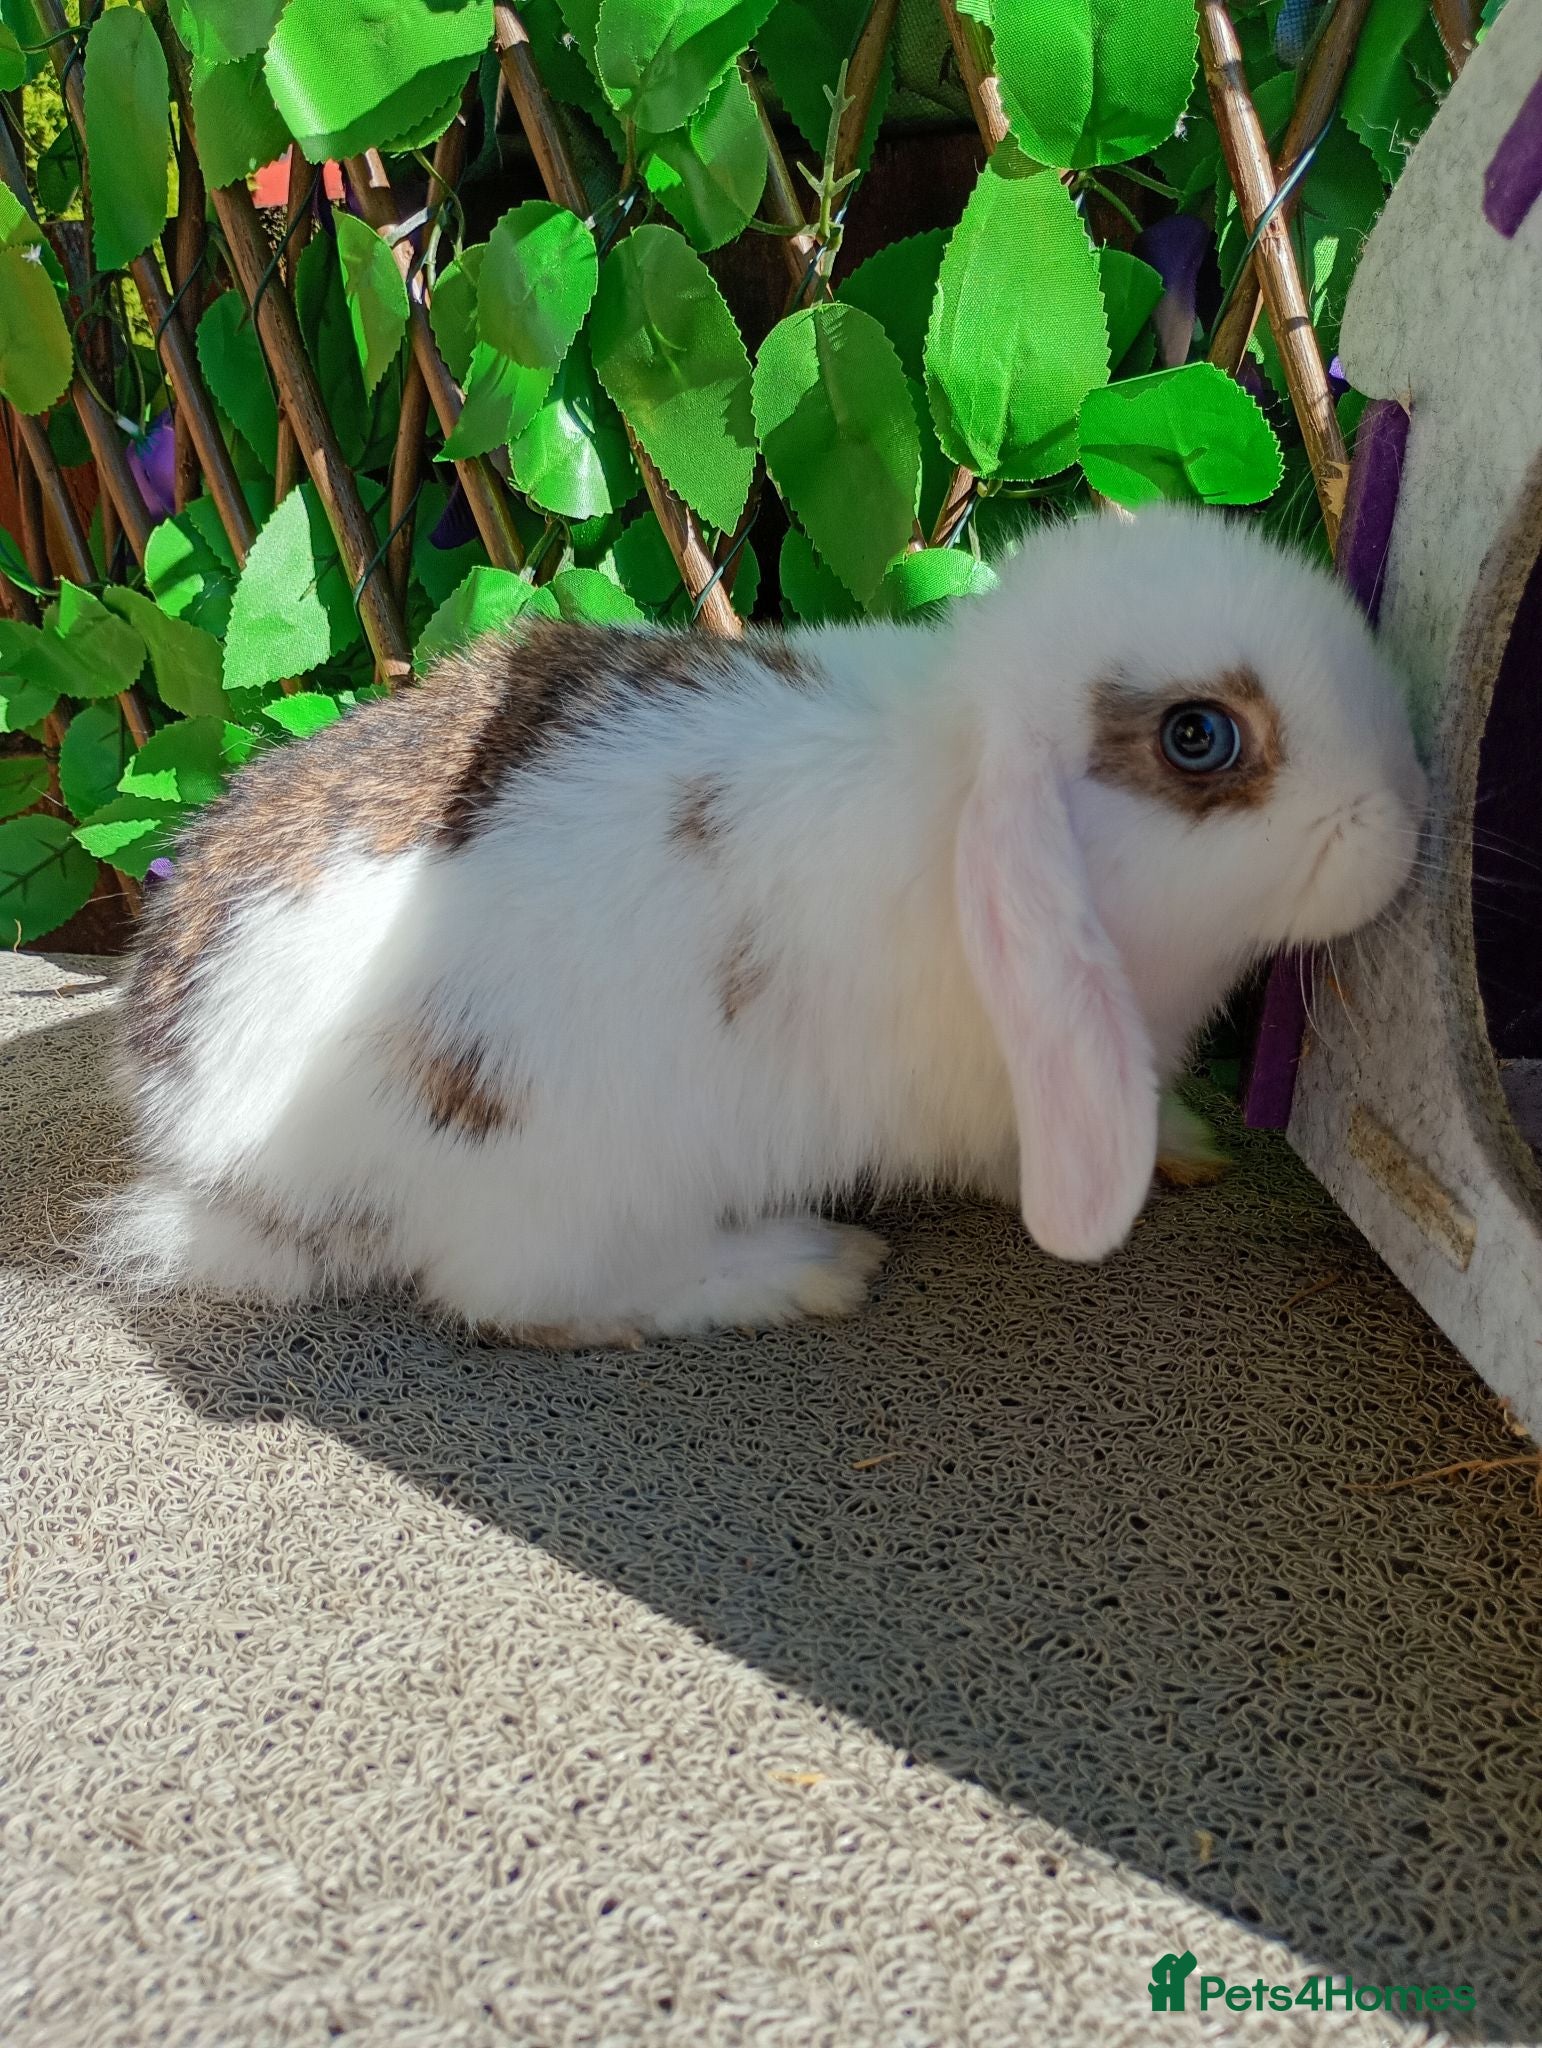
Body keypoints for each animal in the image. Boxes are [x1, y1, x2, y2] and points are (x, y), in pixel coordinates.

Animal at [101, 505, 1425, 1346]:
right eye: (1201, 736)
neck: (954, 767)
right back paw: (799, 1268)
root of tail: (210, 1134)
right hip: (569, 1163)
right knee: (523, 1295)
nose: (1405, 815)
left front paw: (1188, 1143)